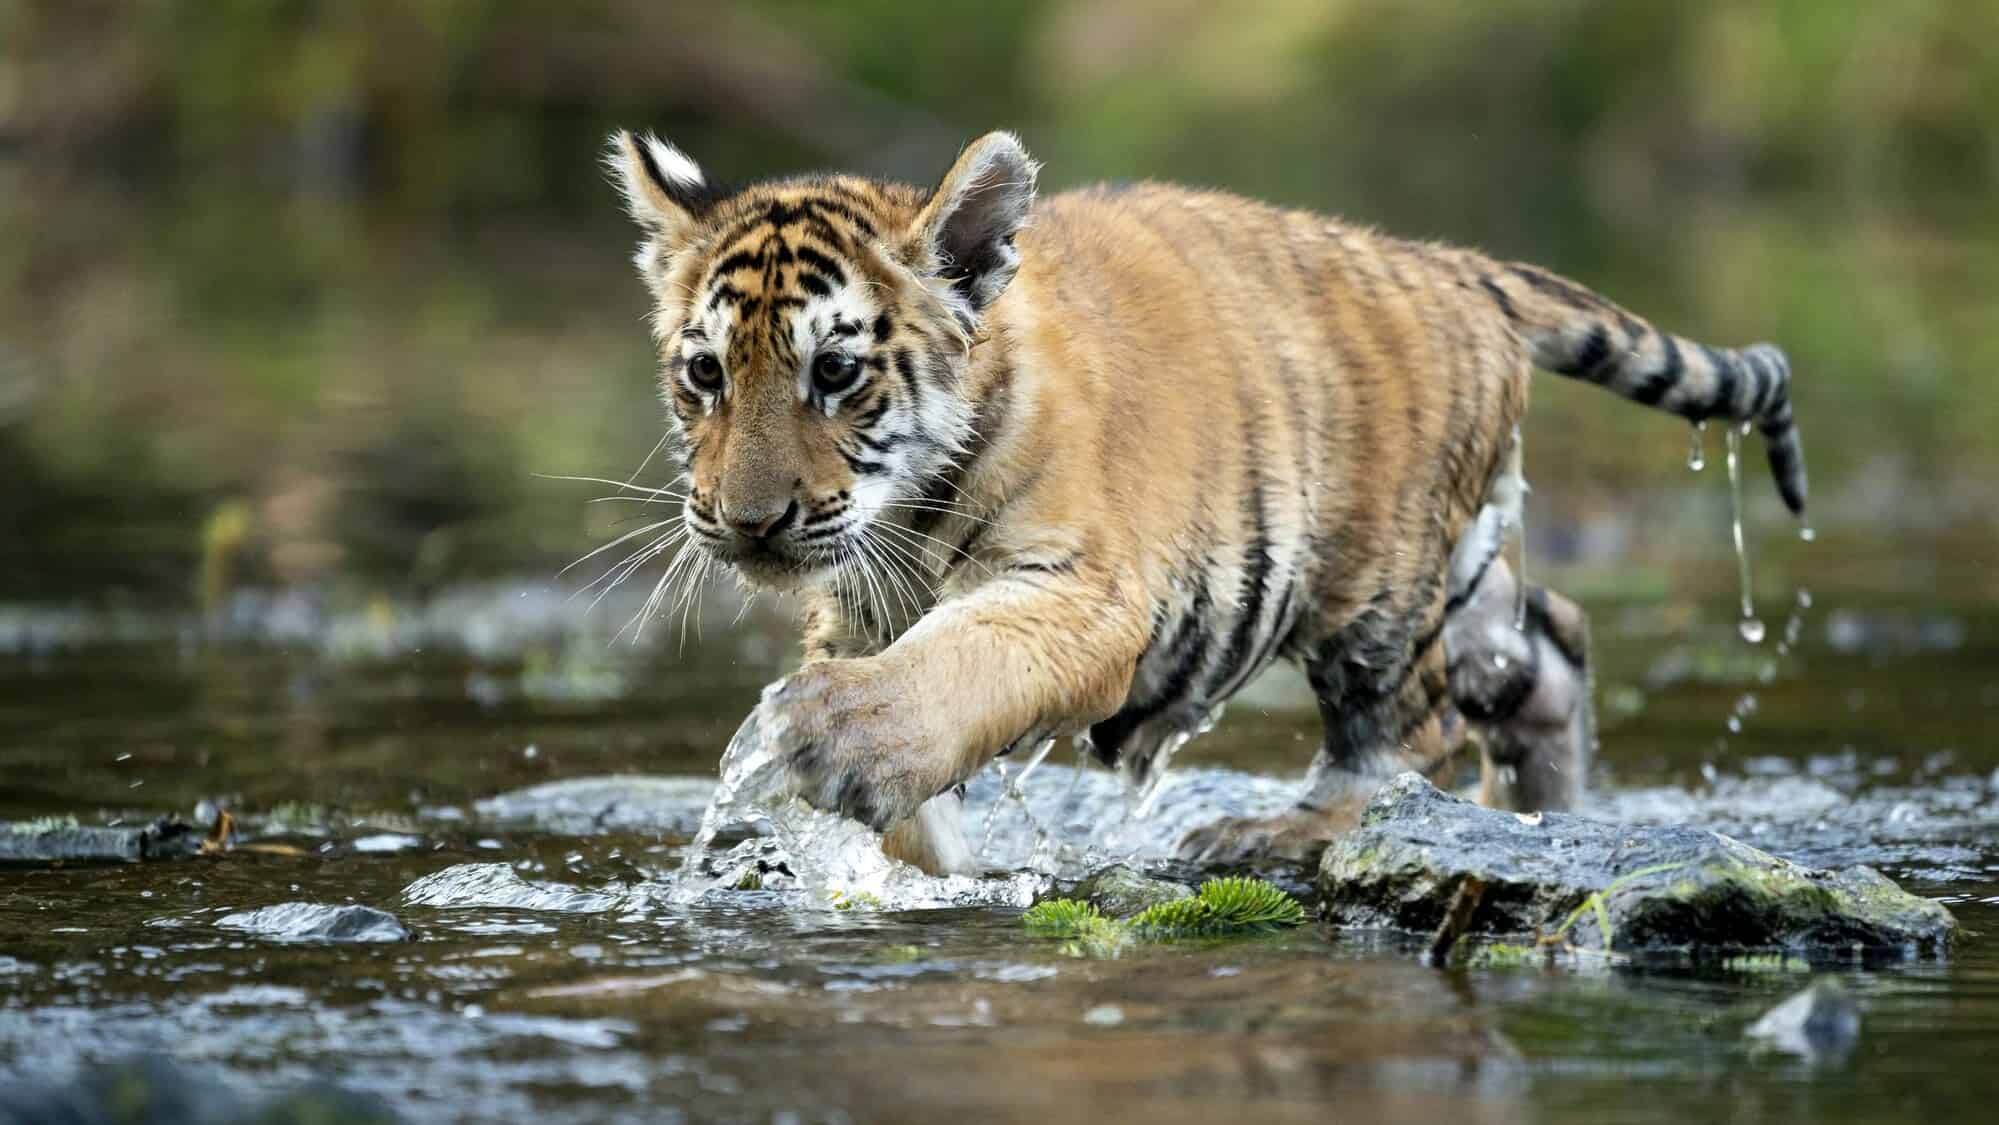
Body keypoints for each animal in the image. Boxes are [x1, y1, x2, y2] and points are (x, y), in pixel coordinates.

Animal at [601, 128, 1806, 873]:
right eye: (704, 373)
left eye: (837, 373)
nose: (747, 522)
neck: (903, 518)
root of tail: (1456, 267)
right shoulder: (854, 608)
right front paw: (925, 864)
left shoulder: (1083, 592)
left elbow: (957, 662)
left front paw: (834, 738)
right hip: (1462, 575)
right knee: (1550, 642)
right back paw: (1548, 805)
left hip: (1375, 590)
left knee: (1414, 738)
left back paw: (1272, 831)